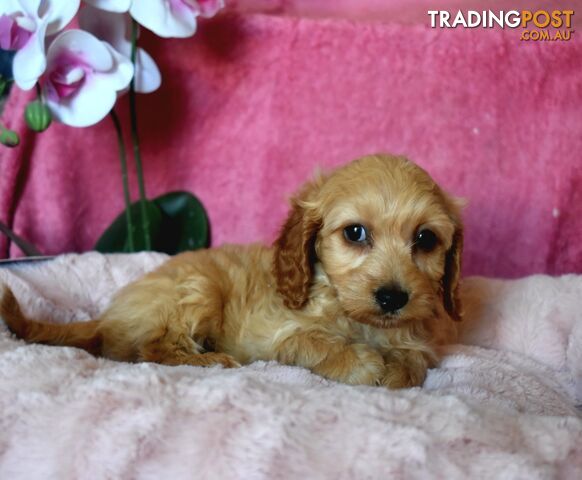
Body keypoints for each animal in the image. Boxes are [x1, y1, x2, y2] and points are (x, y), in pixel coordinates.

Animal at [0, 156, 466, 388]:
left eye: (425, 239)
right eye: (355, 233)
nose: (393, 297)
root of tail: (107, 318)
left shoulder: (416, 338)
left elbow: (414, 358)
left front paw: (398, 370)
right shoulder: (281, 335)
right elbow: (316, 343)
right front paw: (360, 363)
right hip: (197, 290)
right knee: (151, 349)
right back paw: (211, 362)